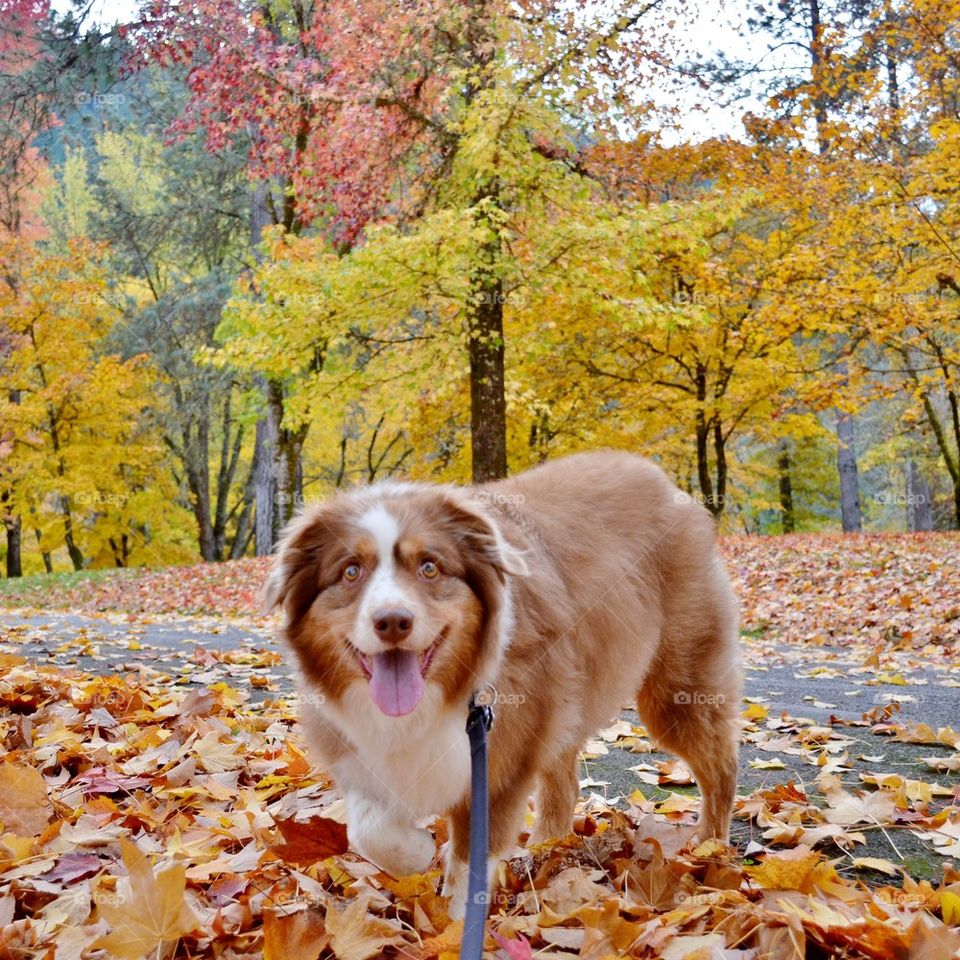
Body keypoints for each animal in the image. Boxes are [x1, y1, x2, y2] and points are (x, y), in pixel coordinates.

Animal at [264, 450, 744, 916]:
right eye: (350, 572)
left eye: (429, 567)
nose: (393, 621)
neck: (438, 697)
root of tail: (660, 479)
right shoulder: (355, 743)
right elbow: (368, 828)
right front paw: (415, 853)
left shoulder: (502, 762)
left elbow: (469, 867)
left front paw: (456, 924)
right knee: (565, 785)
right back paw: (546, 850)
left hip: (675, 689)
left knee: (720, 766)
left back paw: (710, 846)